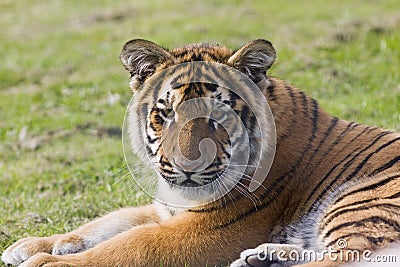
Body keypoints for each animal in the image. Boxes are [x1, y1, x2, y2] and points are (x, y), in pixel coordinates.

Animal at [1, 38, 398, 267]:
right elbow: (108, 222)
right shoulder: (167, 207)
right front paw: (30, 245)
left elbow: (133, 243)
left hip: (360, 201)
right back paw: (262, 259)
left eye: (219, 115)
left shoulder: (213, 228)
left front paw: (45, 262)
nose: (186, 166)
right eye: (166, 113)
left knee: (347, 258)